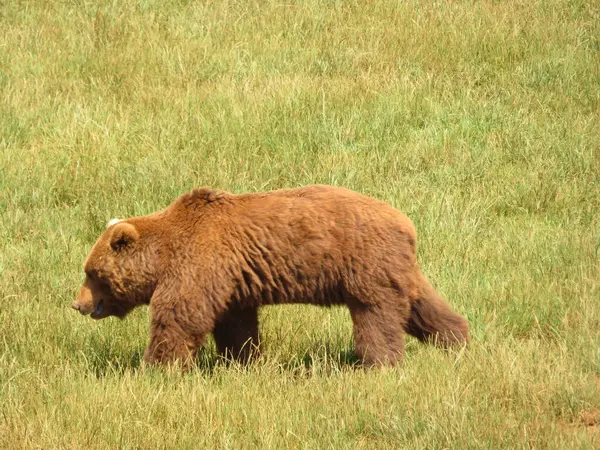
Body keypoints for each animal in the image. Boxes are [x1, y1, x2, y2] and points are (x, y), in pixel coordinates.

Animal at [72, 185, 468, 368]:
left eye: (92, 273)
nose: (77, 303)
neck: (163, 255)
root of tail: (406, 222)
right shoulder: (230, 281)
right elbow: (236, 324)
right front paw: (241, 360)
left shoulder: (199, 264)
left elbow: (179, 316)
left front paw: (157, 365)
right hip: (394, 267)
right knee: (423, 306)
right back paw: (456, 339)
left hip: (364, 264)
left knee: (376, 316)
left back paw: (378, 363)